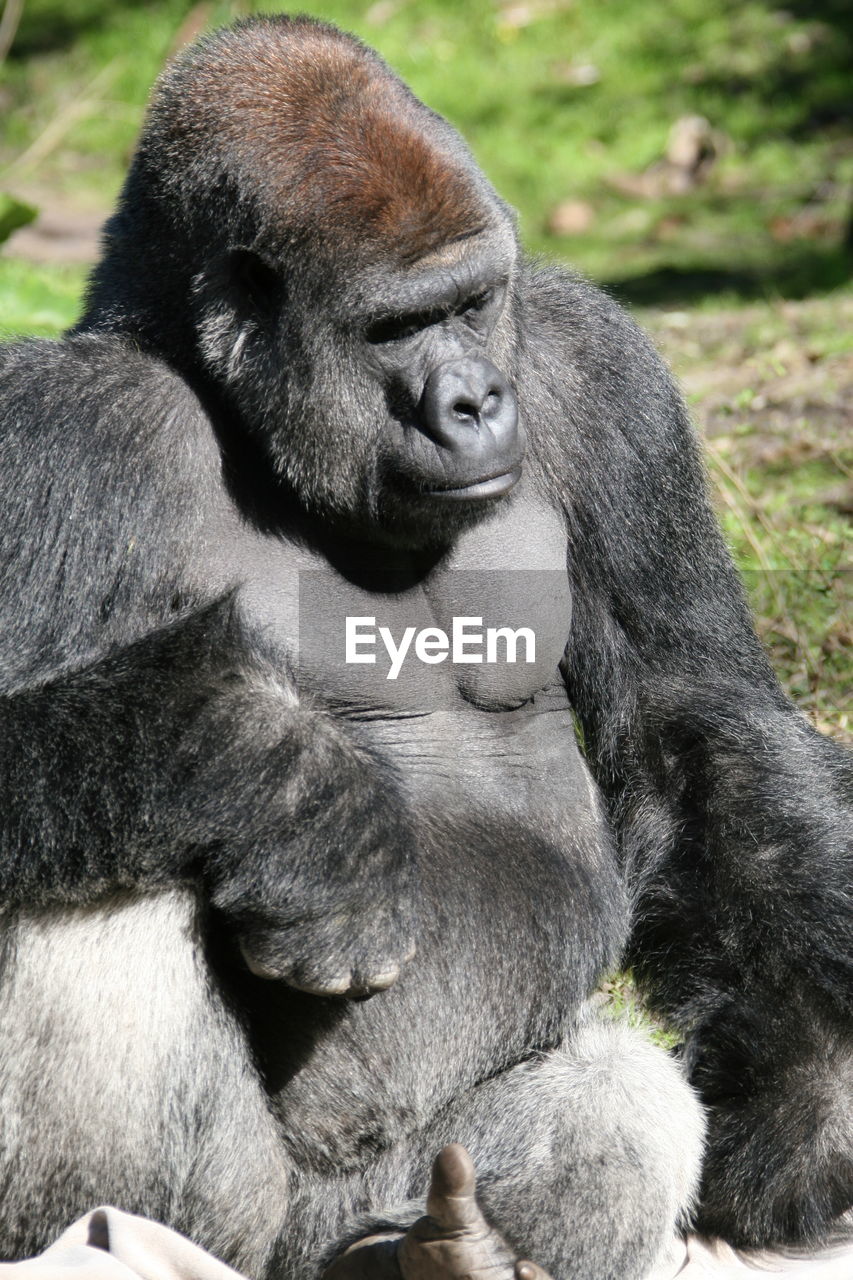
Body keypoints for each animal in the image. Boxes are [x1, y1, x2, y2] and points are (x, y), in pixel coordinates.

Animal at [0, 15, 845, 1280]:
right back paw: (113, 1225)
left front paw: (812, 1098)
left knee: (612, 1100)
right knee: (108, 874)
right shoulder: (56, 433)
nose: (475, 403)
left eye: (477, 301)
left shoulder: (600, 374)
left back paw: (454, 1246)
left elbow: (696, 720)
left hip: (397, 1180)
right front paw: (269, 770)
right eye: (396, 328)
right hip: (253, 1227)